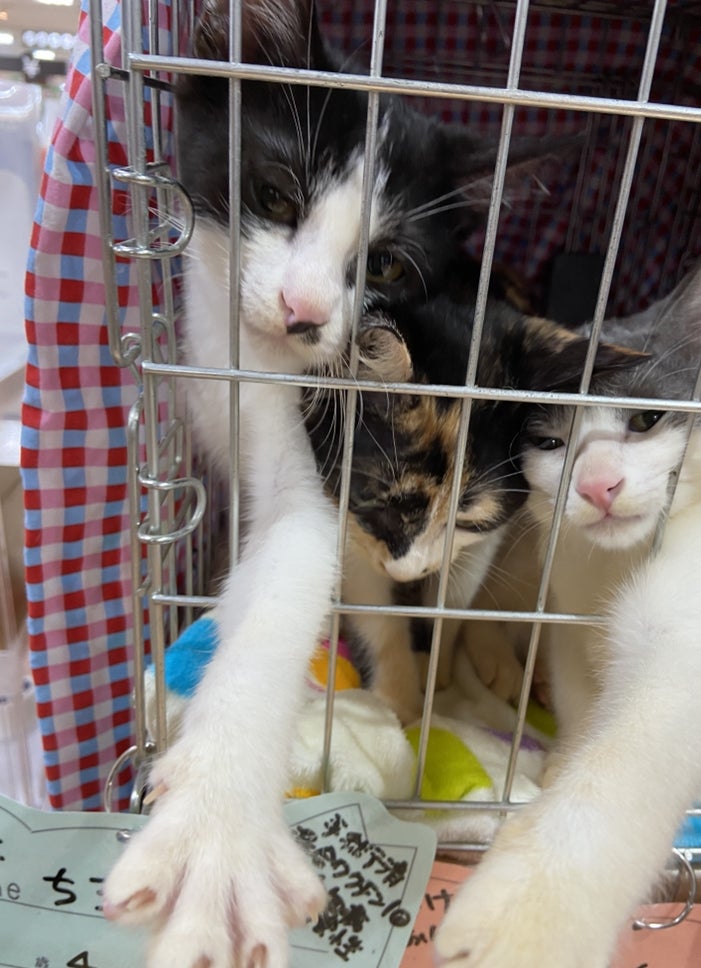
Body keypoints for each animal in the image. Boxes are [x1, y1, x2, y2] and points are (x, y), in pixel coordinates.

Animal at [304, 281, 642, 726]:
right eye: (376, 504)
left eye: (469, 523)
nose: (407, 571)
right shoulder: (347, 524)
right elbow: (373, 605)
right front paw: (397, 698)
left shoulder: (484, 540)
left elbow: (455, 598)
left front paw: (436, 670)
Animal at [434, 264, 701, 968]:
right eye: (549, 442)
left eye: (646, 419)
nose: (597, 485)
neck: (614, 568)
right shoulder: (566, 607)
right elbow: (582, 693)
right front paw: (564, 753)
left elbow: (626, 761)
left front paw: (526, 924)